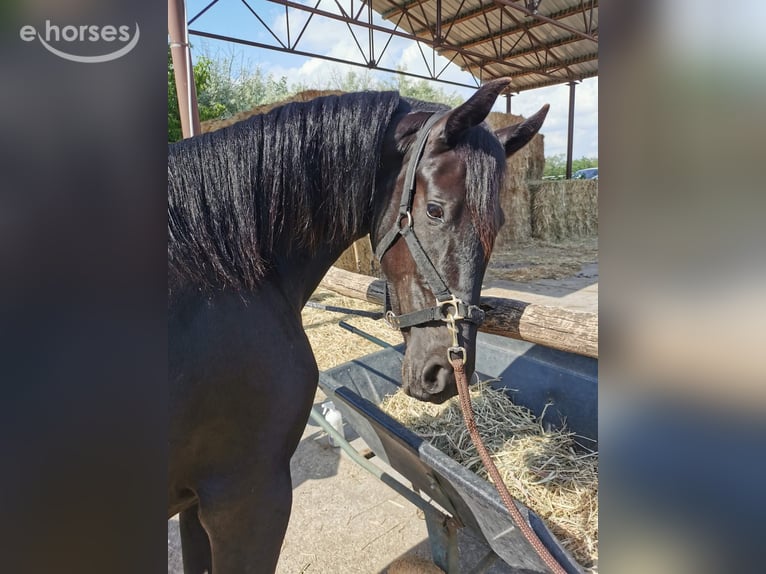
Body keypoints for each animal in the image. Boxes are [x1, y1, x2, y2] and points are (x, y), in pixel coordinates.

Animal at [168, 77, 548, 573]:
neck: (220, 277)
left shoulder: (198, 503)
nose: (444, 375)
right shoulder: (246, 499)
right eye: (435, 210)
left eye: (500, 223)